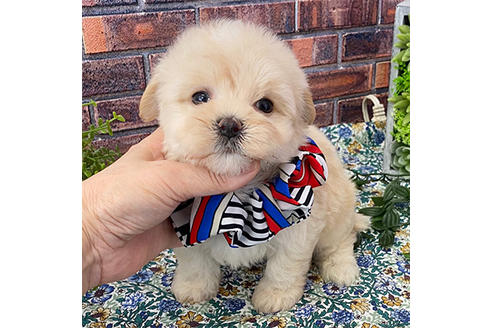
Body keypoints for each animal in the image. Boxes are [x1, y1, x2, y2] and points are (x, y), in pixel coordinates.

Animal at [139, 18, 368, 312]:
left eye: (265, 105)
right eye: (200, 97)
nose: (229, 124)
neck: (240, 196)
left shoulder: (299, 227)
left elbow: (285, 266)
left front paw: (275, 296)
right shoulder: (187, 226)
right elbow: (194, 261)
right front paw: (193, 288)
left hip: (338, 213)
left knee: (341, 241)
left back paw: (341, 268)